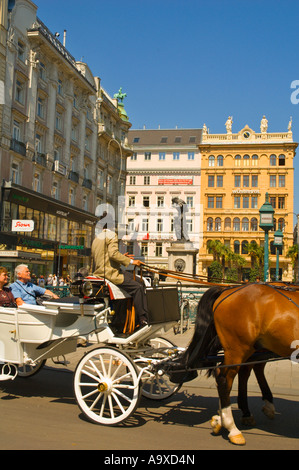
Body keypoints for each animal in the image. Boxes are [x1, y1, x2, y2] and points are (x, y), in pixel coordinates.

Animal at [169, 280, 299, 446]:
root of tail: (227, 291)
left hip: (253, 346)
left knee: (242, 371)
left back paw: (226, 418)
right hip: (238, 347)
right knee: (225, 379)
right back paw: (232, 428)